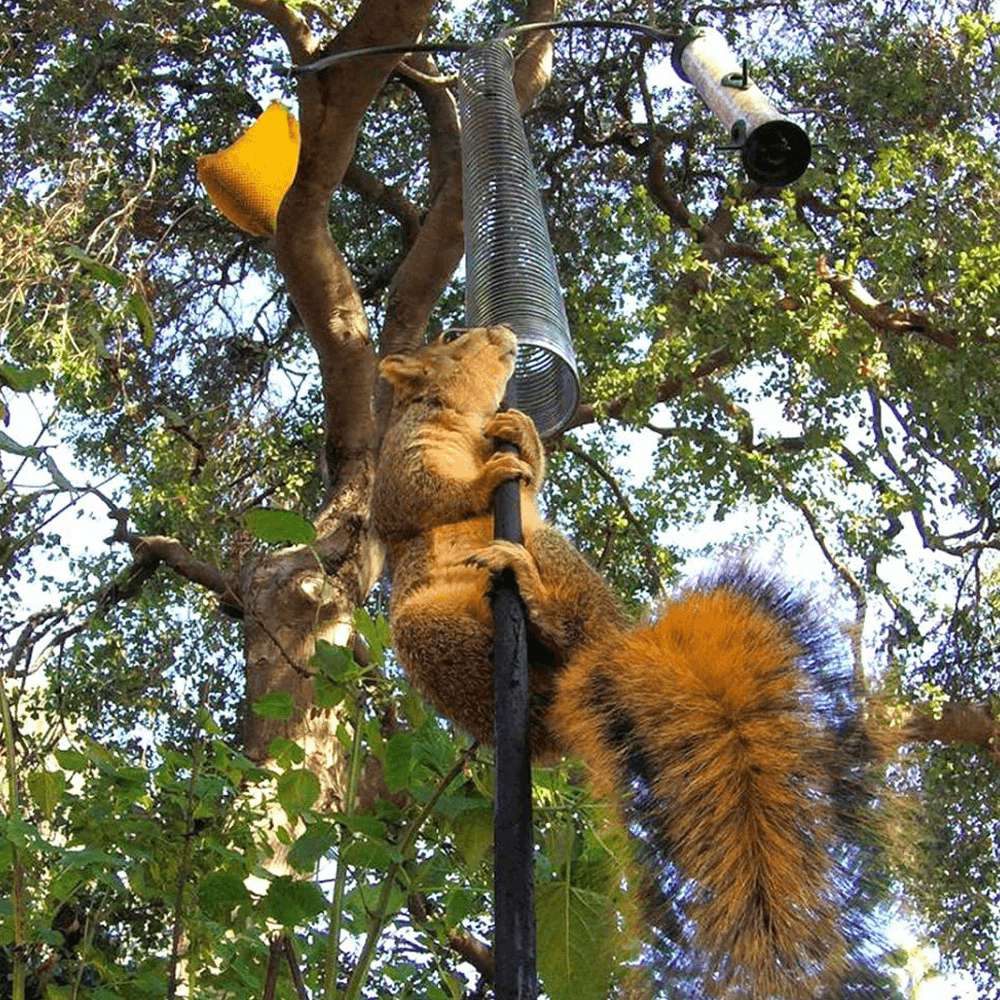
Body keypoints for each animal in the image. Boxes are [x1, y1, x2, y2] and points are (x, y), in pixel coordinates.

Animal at [373, 326, 881, 999]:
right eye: (453, 336)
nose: (504, 334)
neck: (463, 417)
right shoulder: (402, 458)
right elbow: (423, 494)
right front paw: (485, 480)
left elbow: (528, 480)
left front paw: (523, 436)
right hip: (432, 632)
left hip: (551, 551)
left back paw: (539, 601)